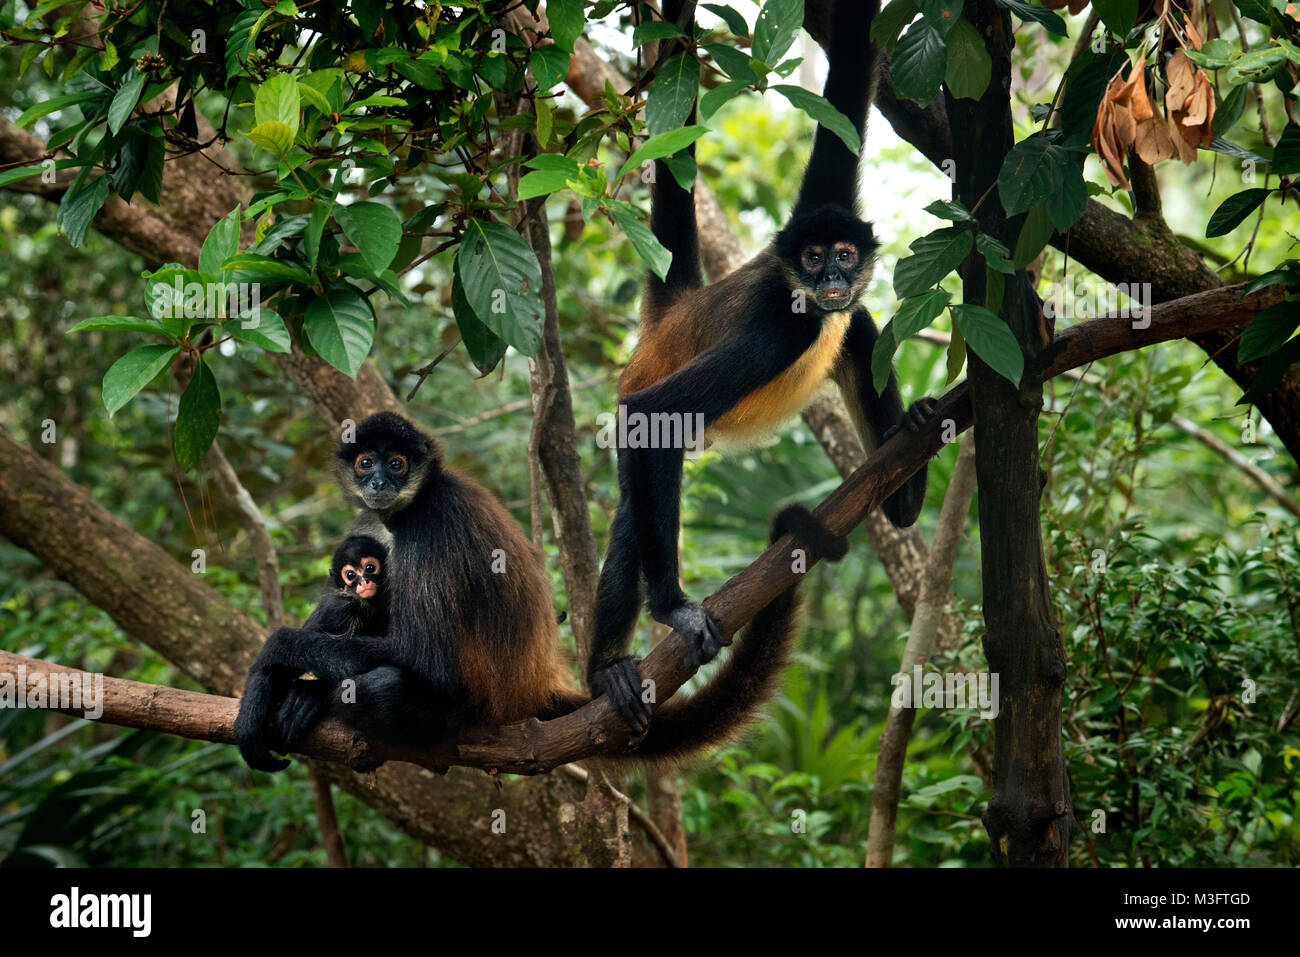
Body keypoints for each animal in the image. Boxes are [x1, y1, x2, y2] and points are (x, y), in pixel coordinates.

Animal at [234, 535, 391, 772]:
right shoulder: (335, 609)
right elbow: (277, 666)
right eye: (351, 575)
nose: (364, 582)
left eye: (370, 568)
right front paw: (248, 724)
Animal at [587, 0, 938, 734]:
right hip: (646, 379)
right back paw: (605, 668)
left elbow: (851, 66)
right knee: (639, 483)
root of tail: (673, 312)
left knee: (859, 327)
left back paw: (904, 485)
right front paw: (673, 610)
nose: (832, 277)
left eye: (841, 253)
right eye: (812, 258)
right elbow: (650, 418)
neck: (799, 290)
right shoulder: (782, 325)